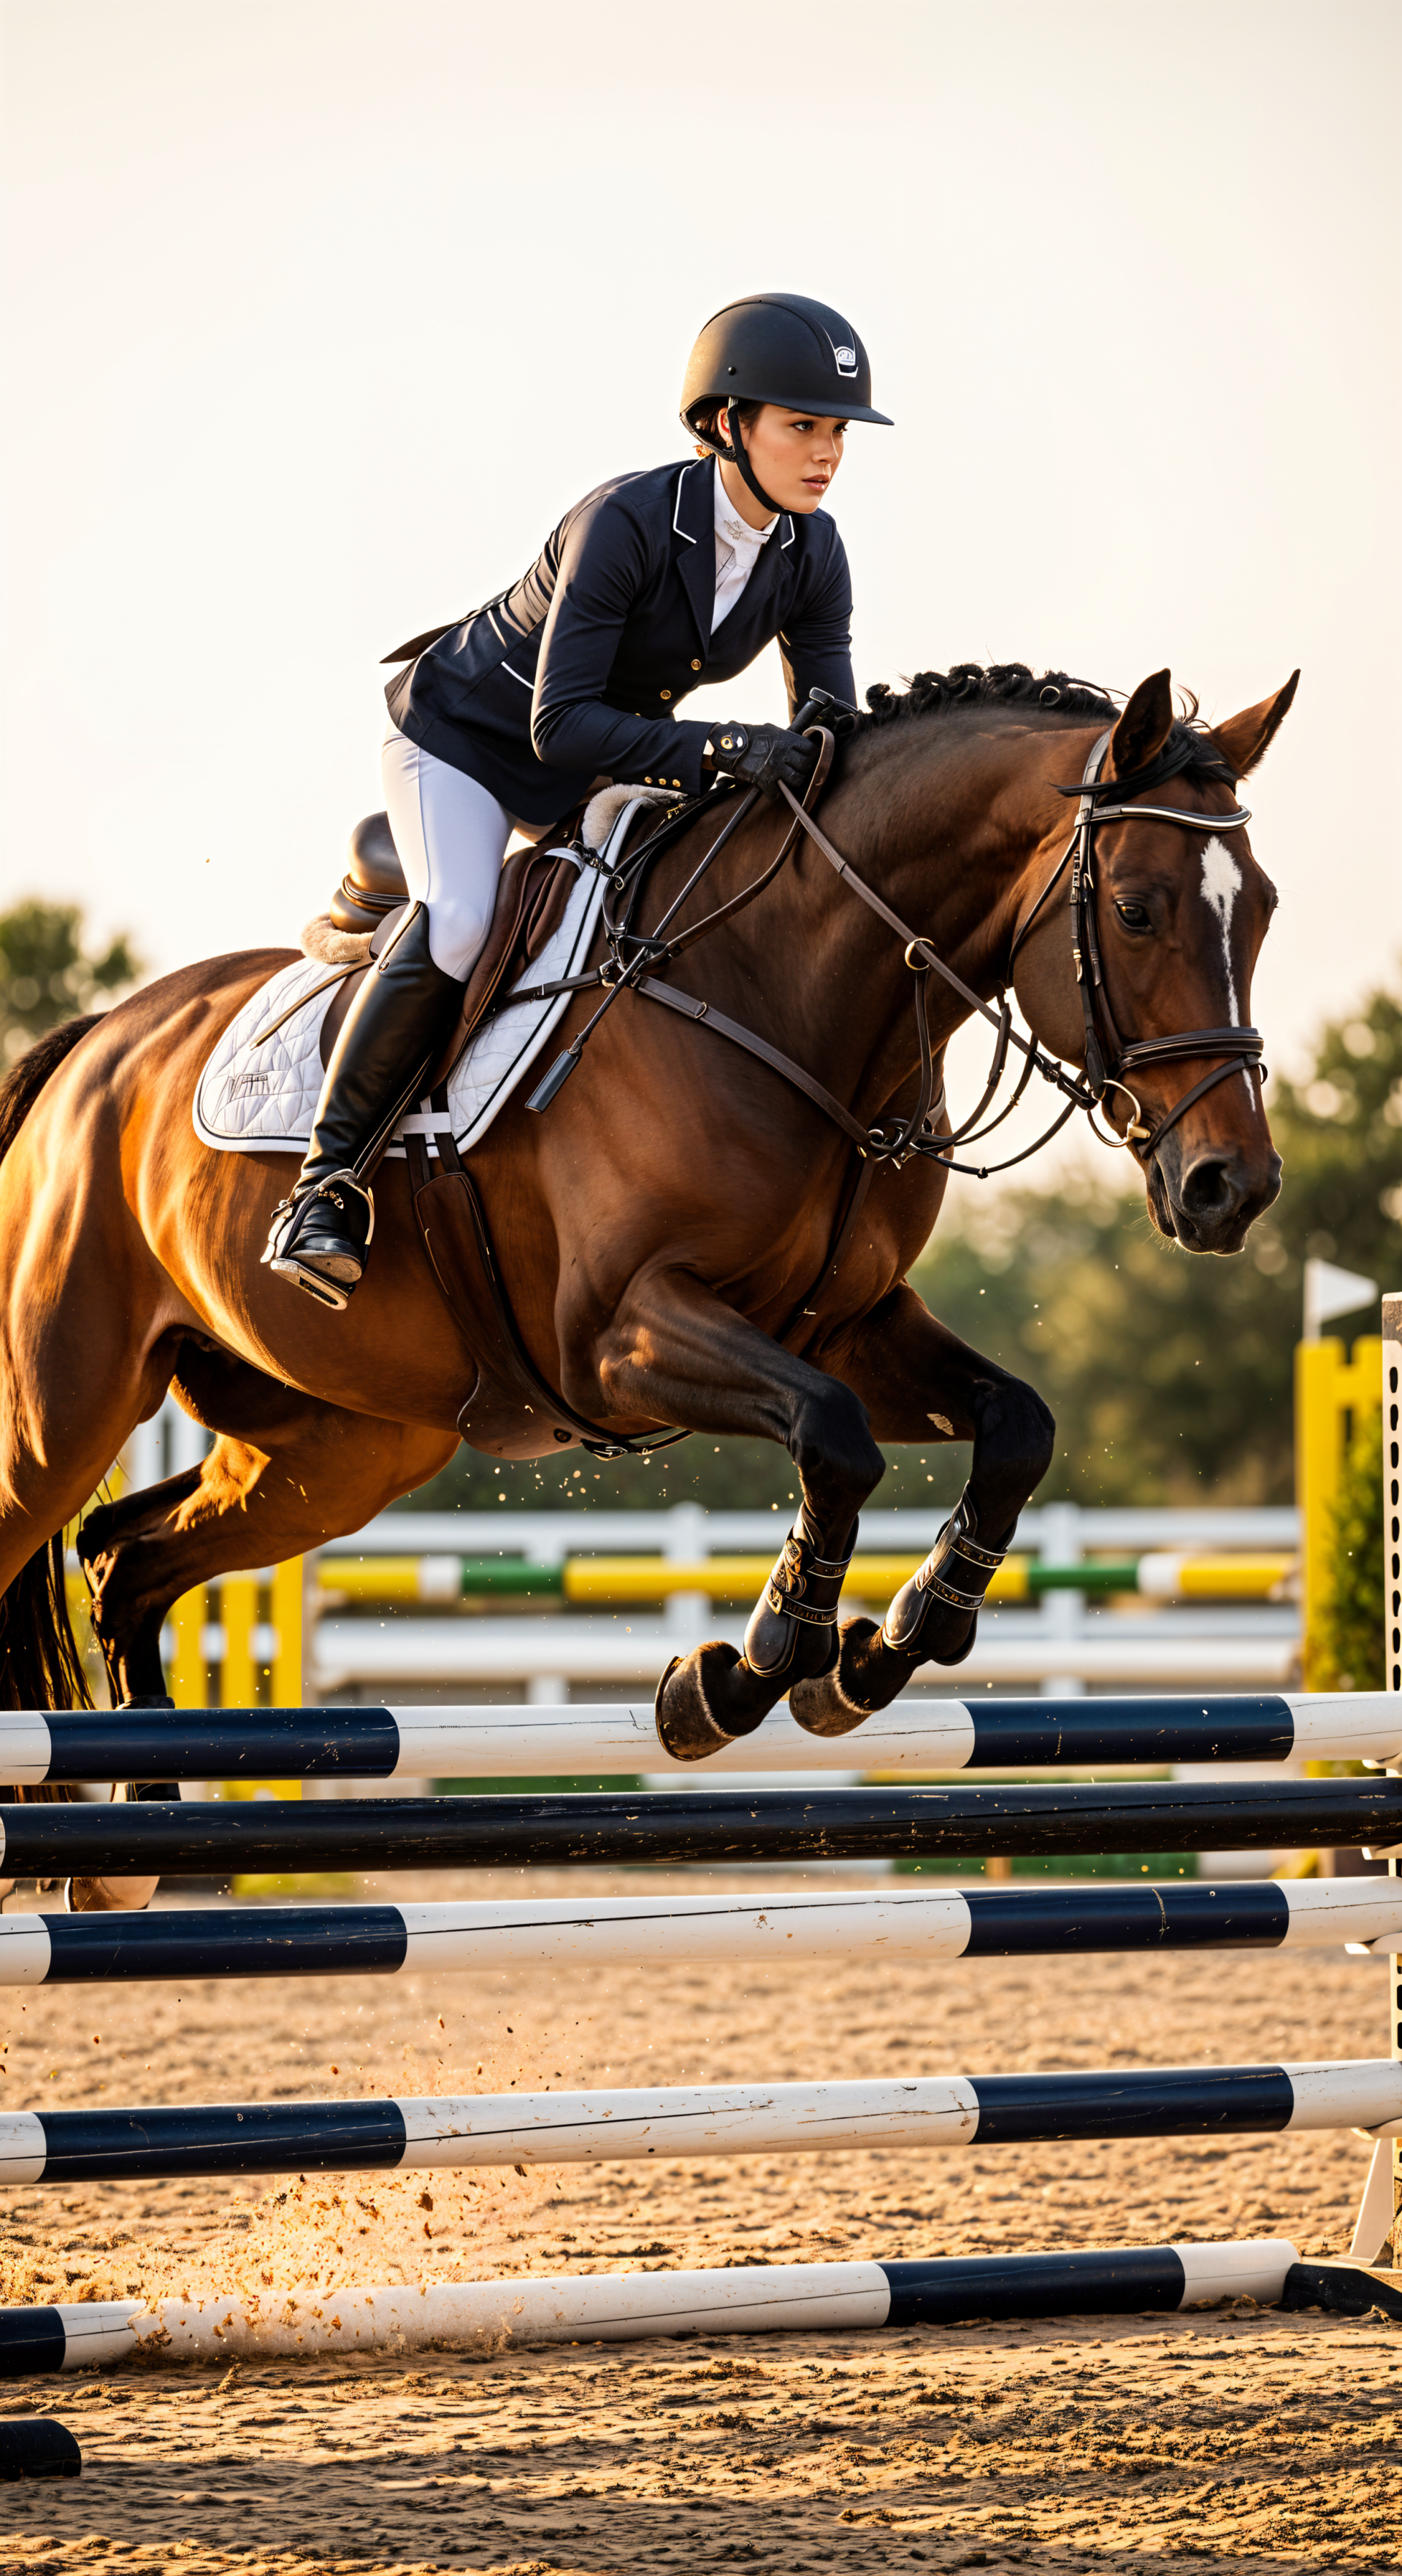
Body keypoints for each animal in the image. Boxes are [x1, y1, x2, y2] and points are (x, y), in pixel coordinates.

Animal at [0, 661, 1294, 1782]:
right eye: (1136, 909)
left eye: (1267, 910)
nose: (1233, 1185)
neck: (783, 994)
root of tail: (99, 1042)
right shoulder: (621, 1339)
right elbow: (834, 1440)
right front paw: (750, 1668)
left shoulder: (847, 1324)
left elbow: (1016, 1426)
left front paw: (890, 1641)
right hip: (65, 1413)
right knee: (72, 1528)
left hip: (339, 1446)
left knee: (128, 1560)